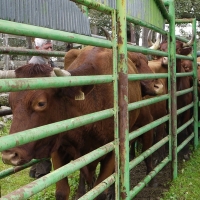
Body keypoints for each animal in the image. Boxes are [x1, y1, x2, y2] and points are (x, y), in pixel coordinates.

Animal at [1, 46, 164, 198]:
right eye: (10, 102)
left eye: (41, 103)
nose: (10, 156)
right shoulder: (59, 149)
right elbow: (62, 191)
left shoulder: (113, 150)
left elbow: (101, 190)